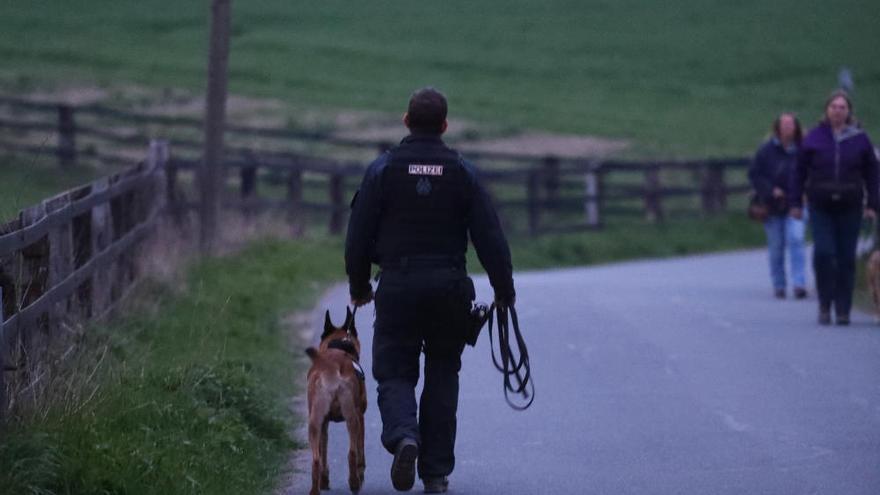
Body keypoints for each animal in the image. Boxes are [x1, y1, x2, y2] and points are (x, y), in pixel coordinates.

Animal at [306, 308, 368, 494]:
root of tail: (331, 367)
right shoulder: (361, 416)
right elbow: (361, 452)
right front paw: (361, 474)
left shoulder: (324, 423)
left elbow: (324, 452)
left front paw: (325, 480)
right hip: (353, 419)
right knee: (352, 453)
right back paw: (355, 482)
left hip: (314, 423)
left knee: (316, 459)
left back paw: (315, 489)